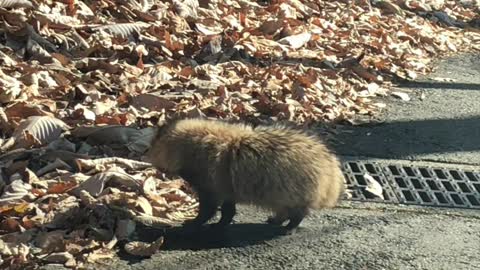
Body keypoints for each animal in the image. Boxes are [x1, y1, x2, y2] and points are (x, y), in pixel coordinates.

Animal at [144, 118, 344, 234]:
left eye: (150, 145)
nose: (144, 155)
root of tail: (331, 167)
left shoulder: (209, 176)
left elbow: (210, 205)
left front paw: (196, 221)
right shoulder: (226, 181)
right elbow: (227, 206)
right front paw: (222, 222)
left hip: (297, 184)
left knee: (296, 209)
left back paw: (291, 224)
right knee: (283, 206)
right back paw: (278, 218)